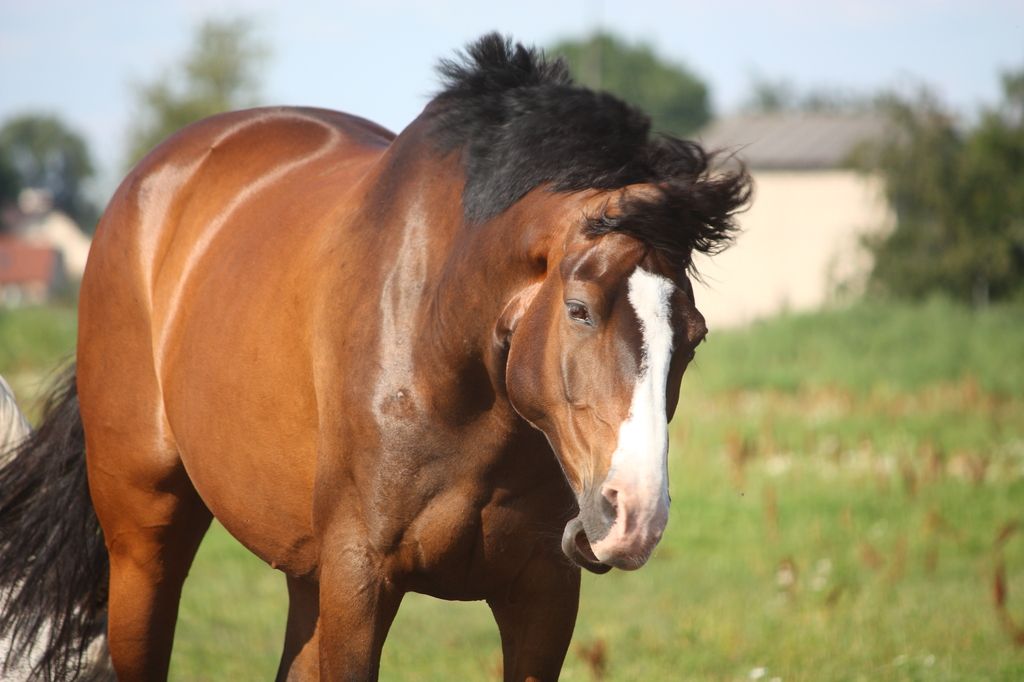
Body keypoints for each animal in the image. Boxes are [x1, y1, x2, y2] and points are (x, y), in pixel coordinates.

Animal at [0, 34, 749, 681]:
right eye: (580, 309)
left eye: (695, 334)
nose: (636, 516)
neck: (441, 346)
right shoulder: (360, 582)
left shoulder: (542, 597)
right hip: (144, 544)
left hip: (305, 576)